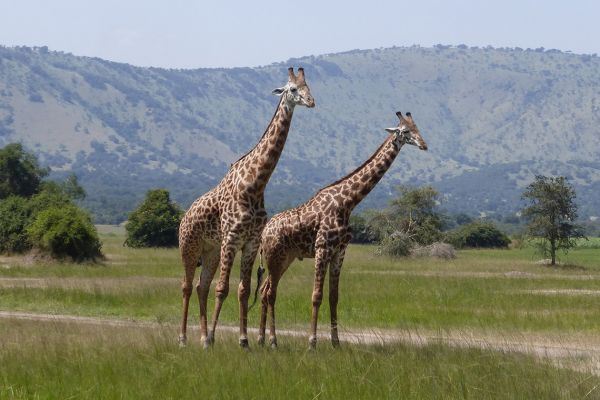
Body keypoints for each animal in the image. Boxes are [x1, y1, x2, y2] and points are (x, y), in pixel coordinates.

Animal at [178, 67, 316, 348]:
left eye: (309, 86)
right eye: (293, 89)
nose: (311, 102)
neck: (255, 184)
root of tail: (184, 217)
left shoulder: (251, 242)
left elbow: (244, 290)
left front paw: (243, 340)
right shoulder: (232, 237)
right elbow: (223, 289)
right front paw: (216, 337)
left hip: (211, 251)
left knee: (201, 285)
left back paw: (202, 338)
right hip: (189, 246)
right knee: (186, 286)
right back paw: (185, 339)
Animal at [256, 111, 426, 348]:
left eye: (418, 128)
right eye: (406, 131)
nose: (424, 145)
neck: (348, 203)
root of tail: (264, 234)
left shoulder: (339, 252)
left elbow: (333, 297)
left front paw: (336, 343)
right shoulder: (322, 249)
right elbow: (316, 295)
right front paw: (312, 342)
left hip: (285, 258)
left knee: (264, 291)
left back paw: (261, 338)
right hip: (274, 257)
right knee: (271, 293)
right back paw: (272, 340)